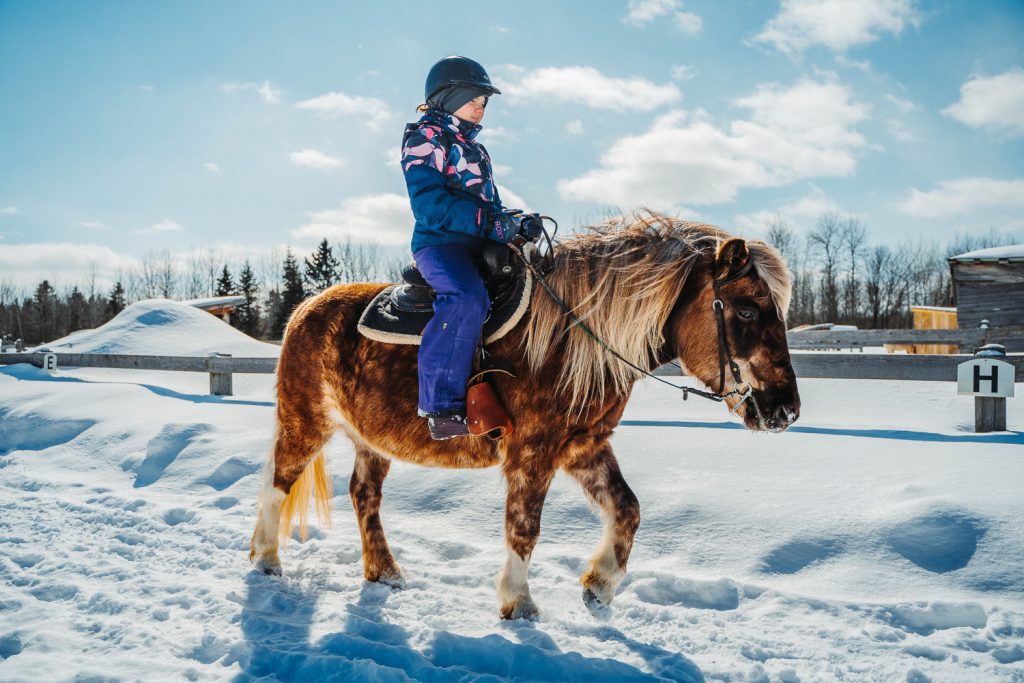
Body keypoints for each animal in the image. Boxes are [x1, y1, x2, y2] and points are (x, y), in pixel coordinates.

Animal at [247, 214, 798, 618]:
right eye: (748, 309)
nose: (785, 409)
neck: (570, 339)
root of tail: (304, 310)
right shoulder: (532, 452)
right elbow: (524, 527)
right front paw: (519, 601)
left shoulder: (584, 447)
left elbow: (628, 509)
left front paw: (599, 585)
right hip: (305, 421)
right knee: (278, 482)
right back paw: (267, 559)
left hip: (371, 440)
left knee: (364, 496)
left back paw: (385, 571)